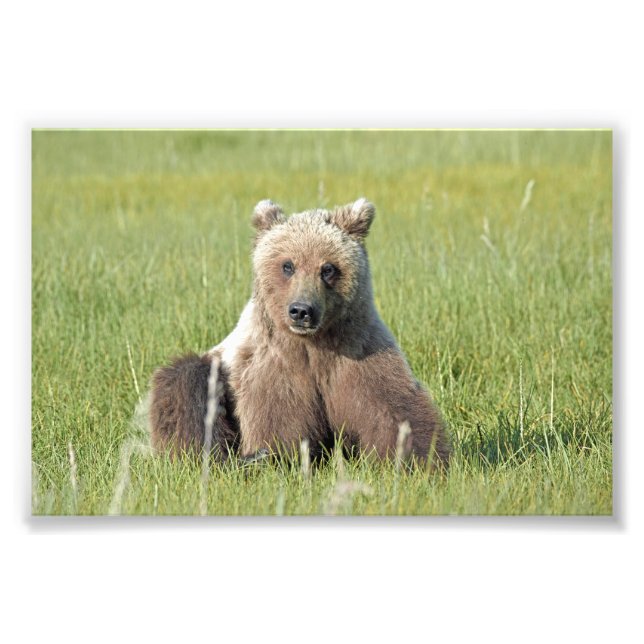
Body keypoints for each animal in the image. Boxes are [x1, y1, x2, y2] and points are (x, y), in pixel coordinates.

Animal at [148, 198, 450, 467]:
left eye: (328, 268)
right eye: (288, 265)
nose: (302, 310)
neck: (314, 342)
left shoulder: (358, 352)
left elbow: (394, 409)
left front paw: (421, 459)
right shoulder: (272, 364)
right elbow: (279, 418)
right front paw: (276, 456)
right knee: (186, 385)